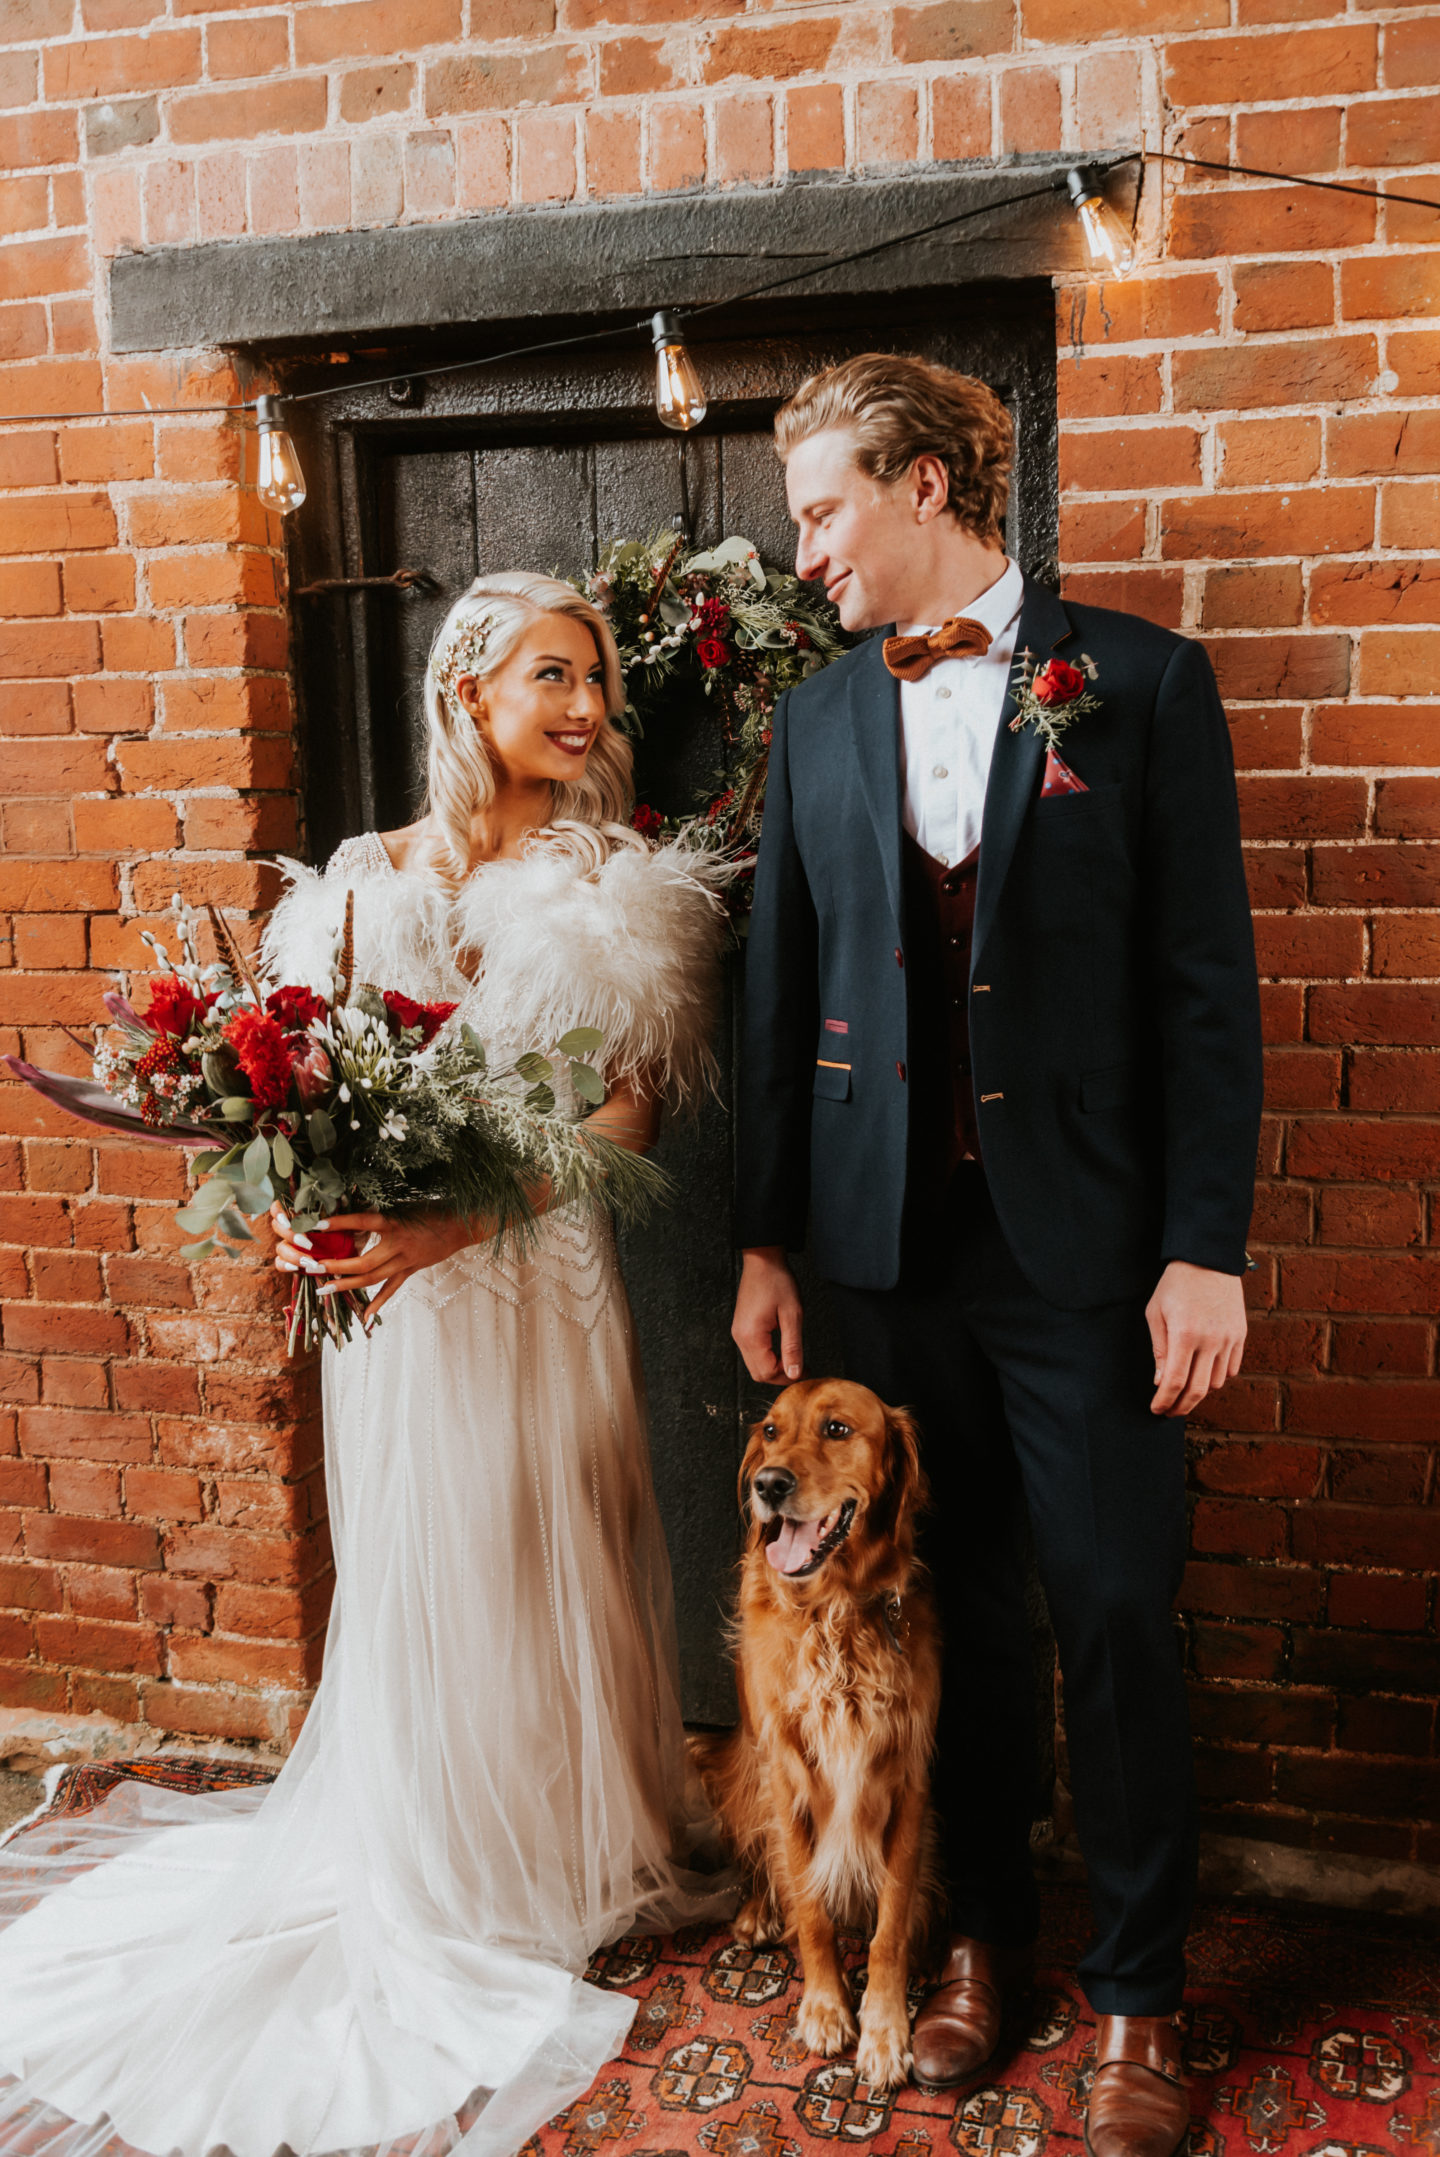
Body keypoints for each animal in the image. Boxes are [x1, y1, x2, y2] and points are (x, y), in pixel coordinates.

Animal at [689, 1380, 939, 2087]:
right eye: (771, 1431)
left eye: (837, 1429)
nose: (768, 1483)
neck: (833, 1611)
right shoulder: (785, 1776)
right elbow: (812, 1912)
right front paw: (827, 2008)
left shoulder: (908, 1782)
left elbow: (889, 1925)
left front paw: (884, 2028)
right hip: (731, 1764)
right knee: (757, 1855)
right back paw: (756, 1909)